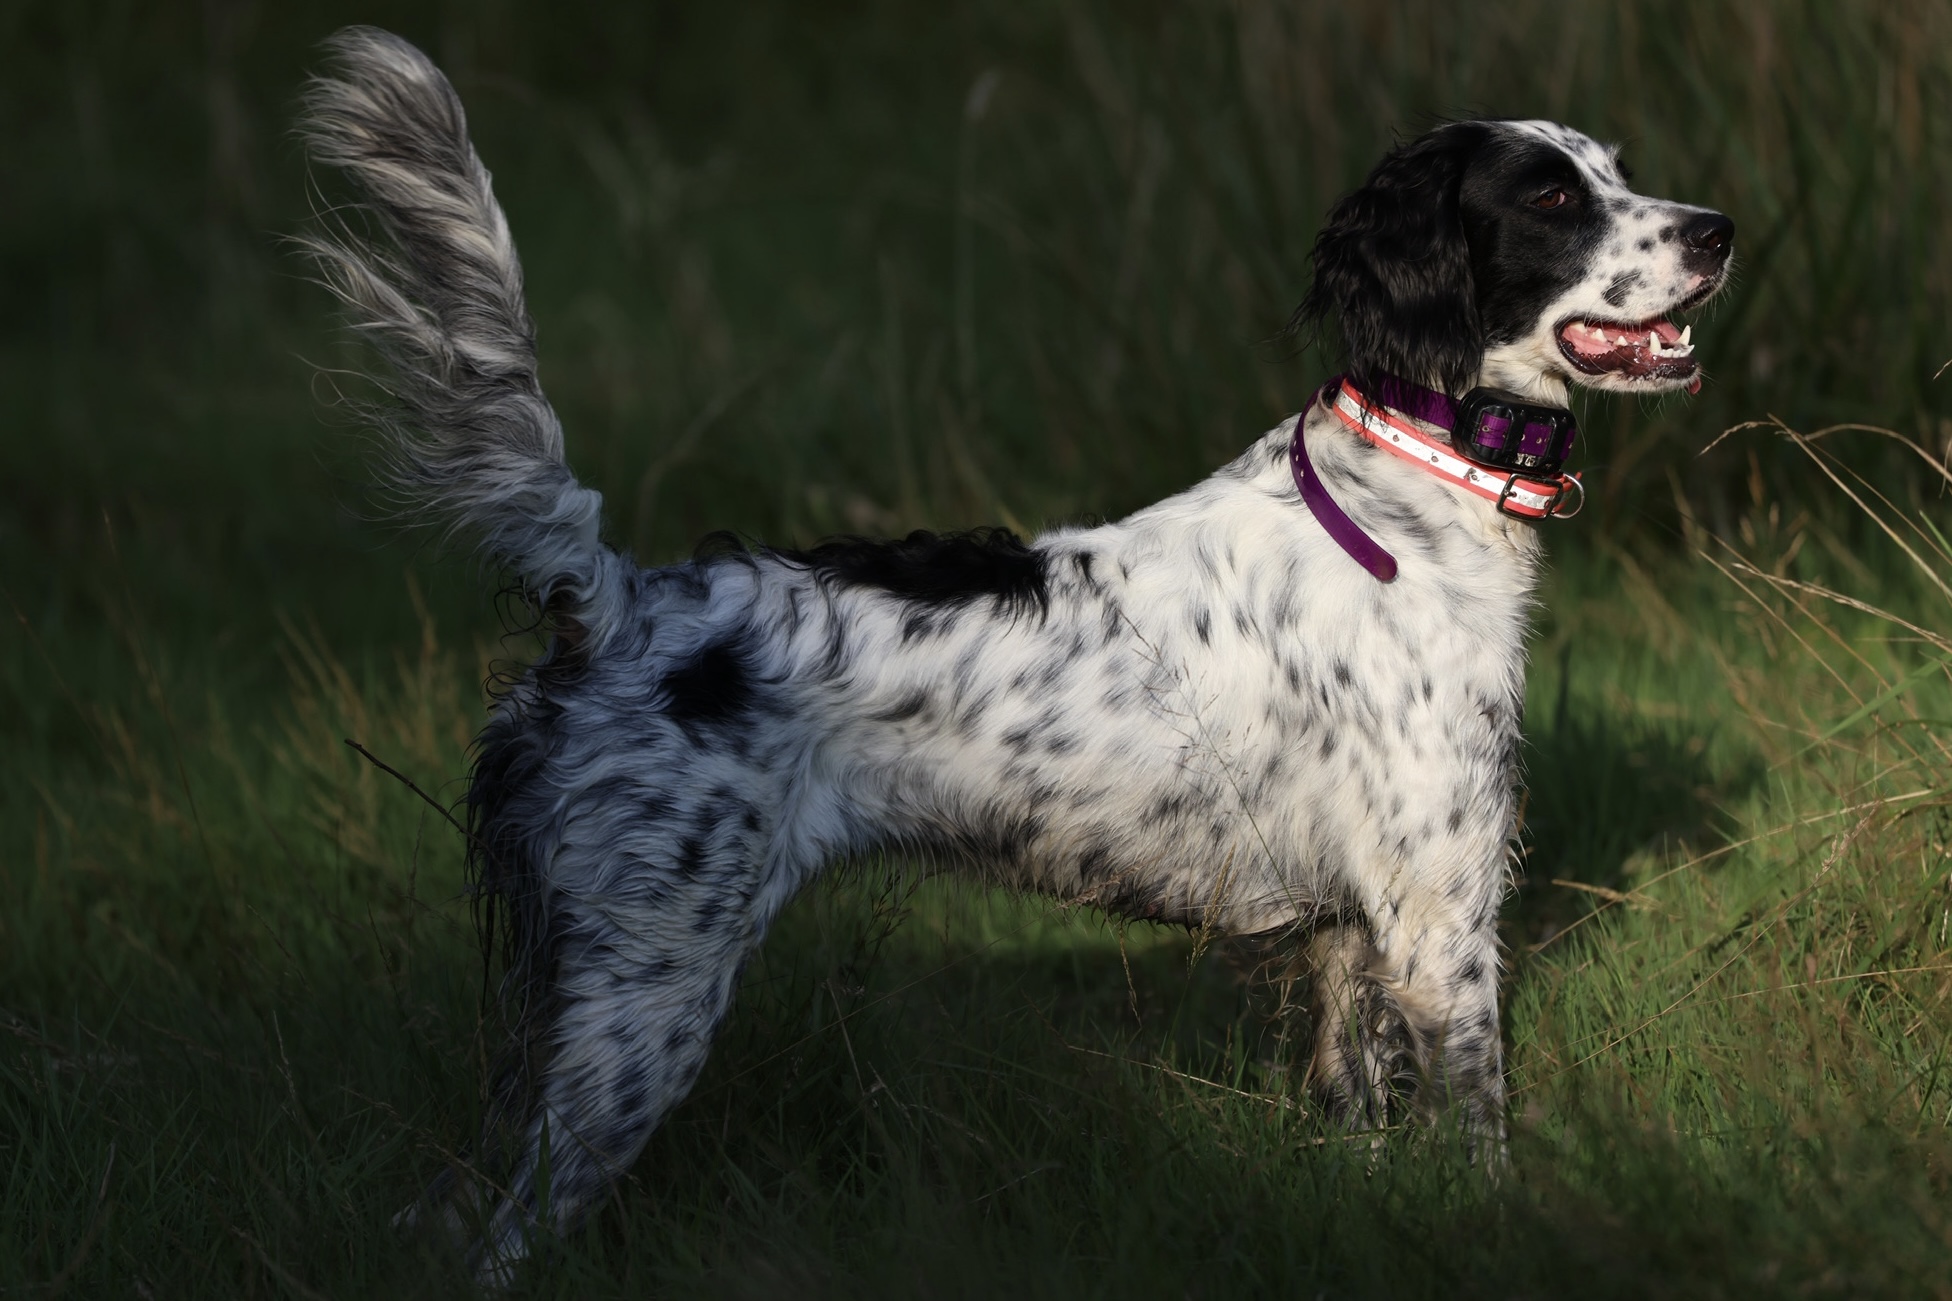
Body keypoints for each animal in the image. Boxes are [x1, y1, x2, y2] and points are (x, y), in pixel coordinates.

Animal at [300, 25, 1741, 1273]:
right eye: (1550, 196)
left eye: (1614, 170)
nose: (1720, 229)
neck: (1411, 497)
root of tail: (614, 598)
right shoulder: (1440, 922)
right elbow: (1479, 1127)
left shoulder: (1354, 934)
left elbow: (1361, 1116)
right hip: (636, 1010)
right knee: (497, 1236)